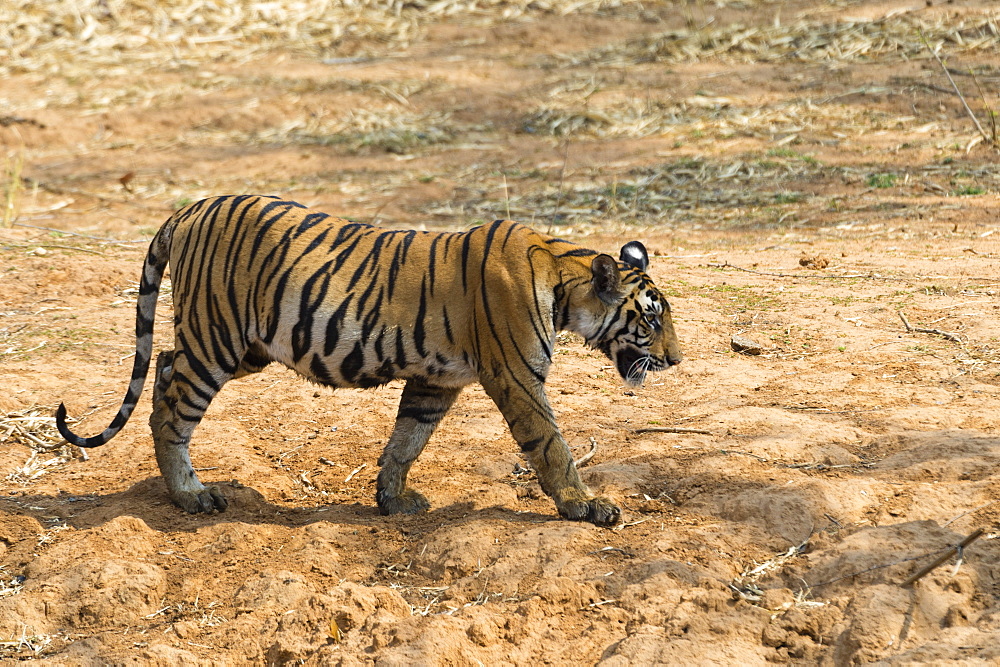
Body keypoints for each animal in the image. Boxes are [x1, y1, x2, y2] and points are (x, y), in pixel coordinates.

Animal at [54, 196, 680, 524]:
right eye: (651, 321)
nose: (675, 360)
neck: (563, 280)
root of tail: (190, 208)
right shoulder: (518, 380)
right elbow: (552, 447)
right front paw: (586, 506)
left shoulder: (436, 382)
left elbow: (408, 440)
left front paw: (393, 498)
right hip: (217, 338)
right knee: (171, 406)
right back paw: (190, 495)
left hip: (242, 346)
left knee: (161, 367)